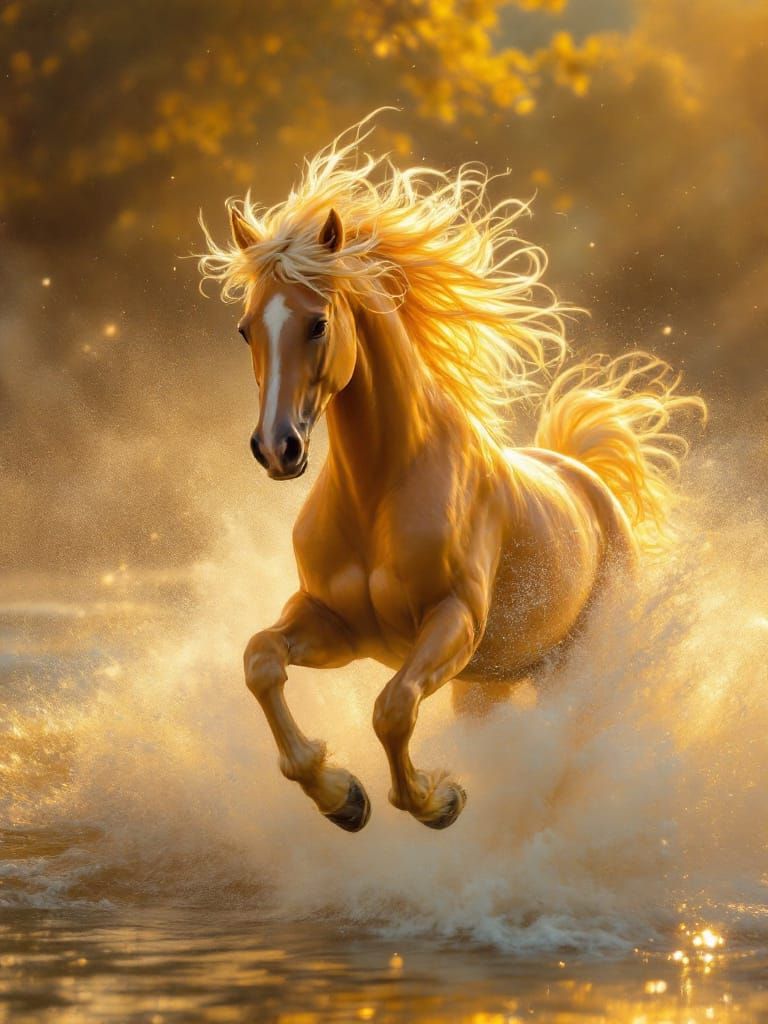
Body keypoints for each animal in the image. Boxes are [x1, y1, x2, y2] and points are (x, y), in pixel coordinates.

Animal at [198, 120, 704, 833]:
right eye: (245, 329)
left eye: (317, 323)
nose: (277, 449)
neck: (380, 489)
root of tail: (586, 479)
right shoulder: (334, 624)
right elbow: (260, 661)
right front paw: (341, 796)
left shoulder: (452, 623)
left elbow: (391, 708)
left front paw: (438, 800)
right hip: (489, 685)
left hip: (573, 668)